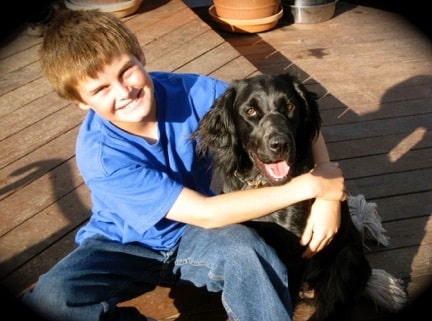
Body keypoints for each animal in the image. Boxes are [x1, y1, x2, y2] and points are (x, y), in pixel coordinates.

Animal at [193, 73, 408, 320]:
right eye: (250, 111)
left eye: (289, 106)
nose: (280, 144)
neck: (263, 187)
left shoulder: (294, 256)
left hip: (348, 259)